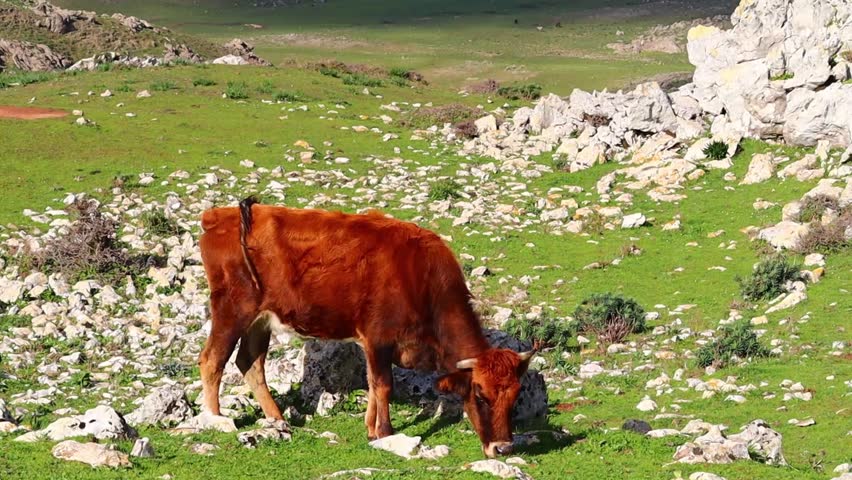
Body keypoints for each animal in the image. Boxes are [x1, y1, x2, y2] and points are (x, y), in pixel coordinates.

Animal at [198, 197, 535, 457]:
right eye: (480, 395)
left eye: (515, 396)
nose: (503, 448)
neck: (420, 277)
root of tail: (220, 215)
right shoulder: (379, 337)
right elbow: (383, 384)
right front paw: (385, 431)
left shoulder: (373, 343)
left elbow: (373, 383)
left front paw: (371, 427)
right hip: (232, 311)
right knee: (212, 359)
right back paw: (216, 418)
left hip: (259, 320)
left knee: (250, 363)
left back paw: (277, 419)